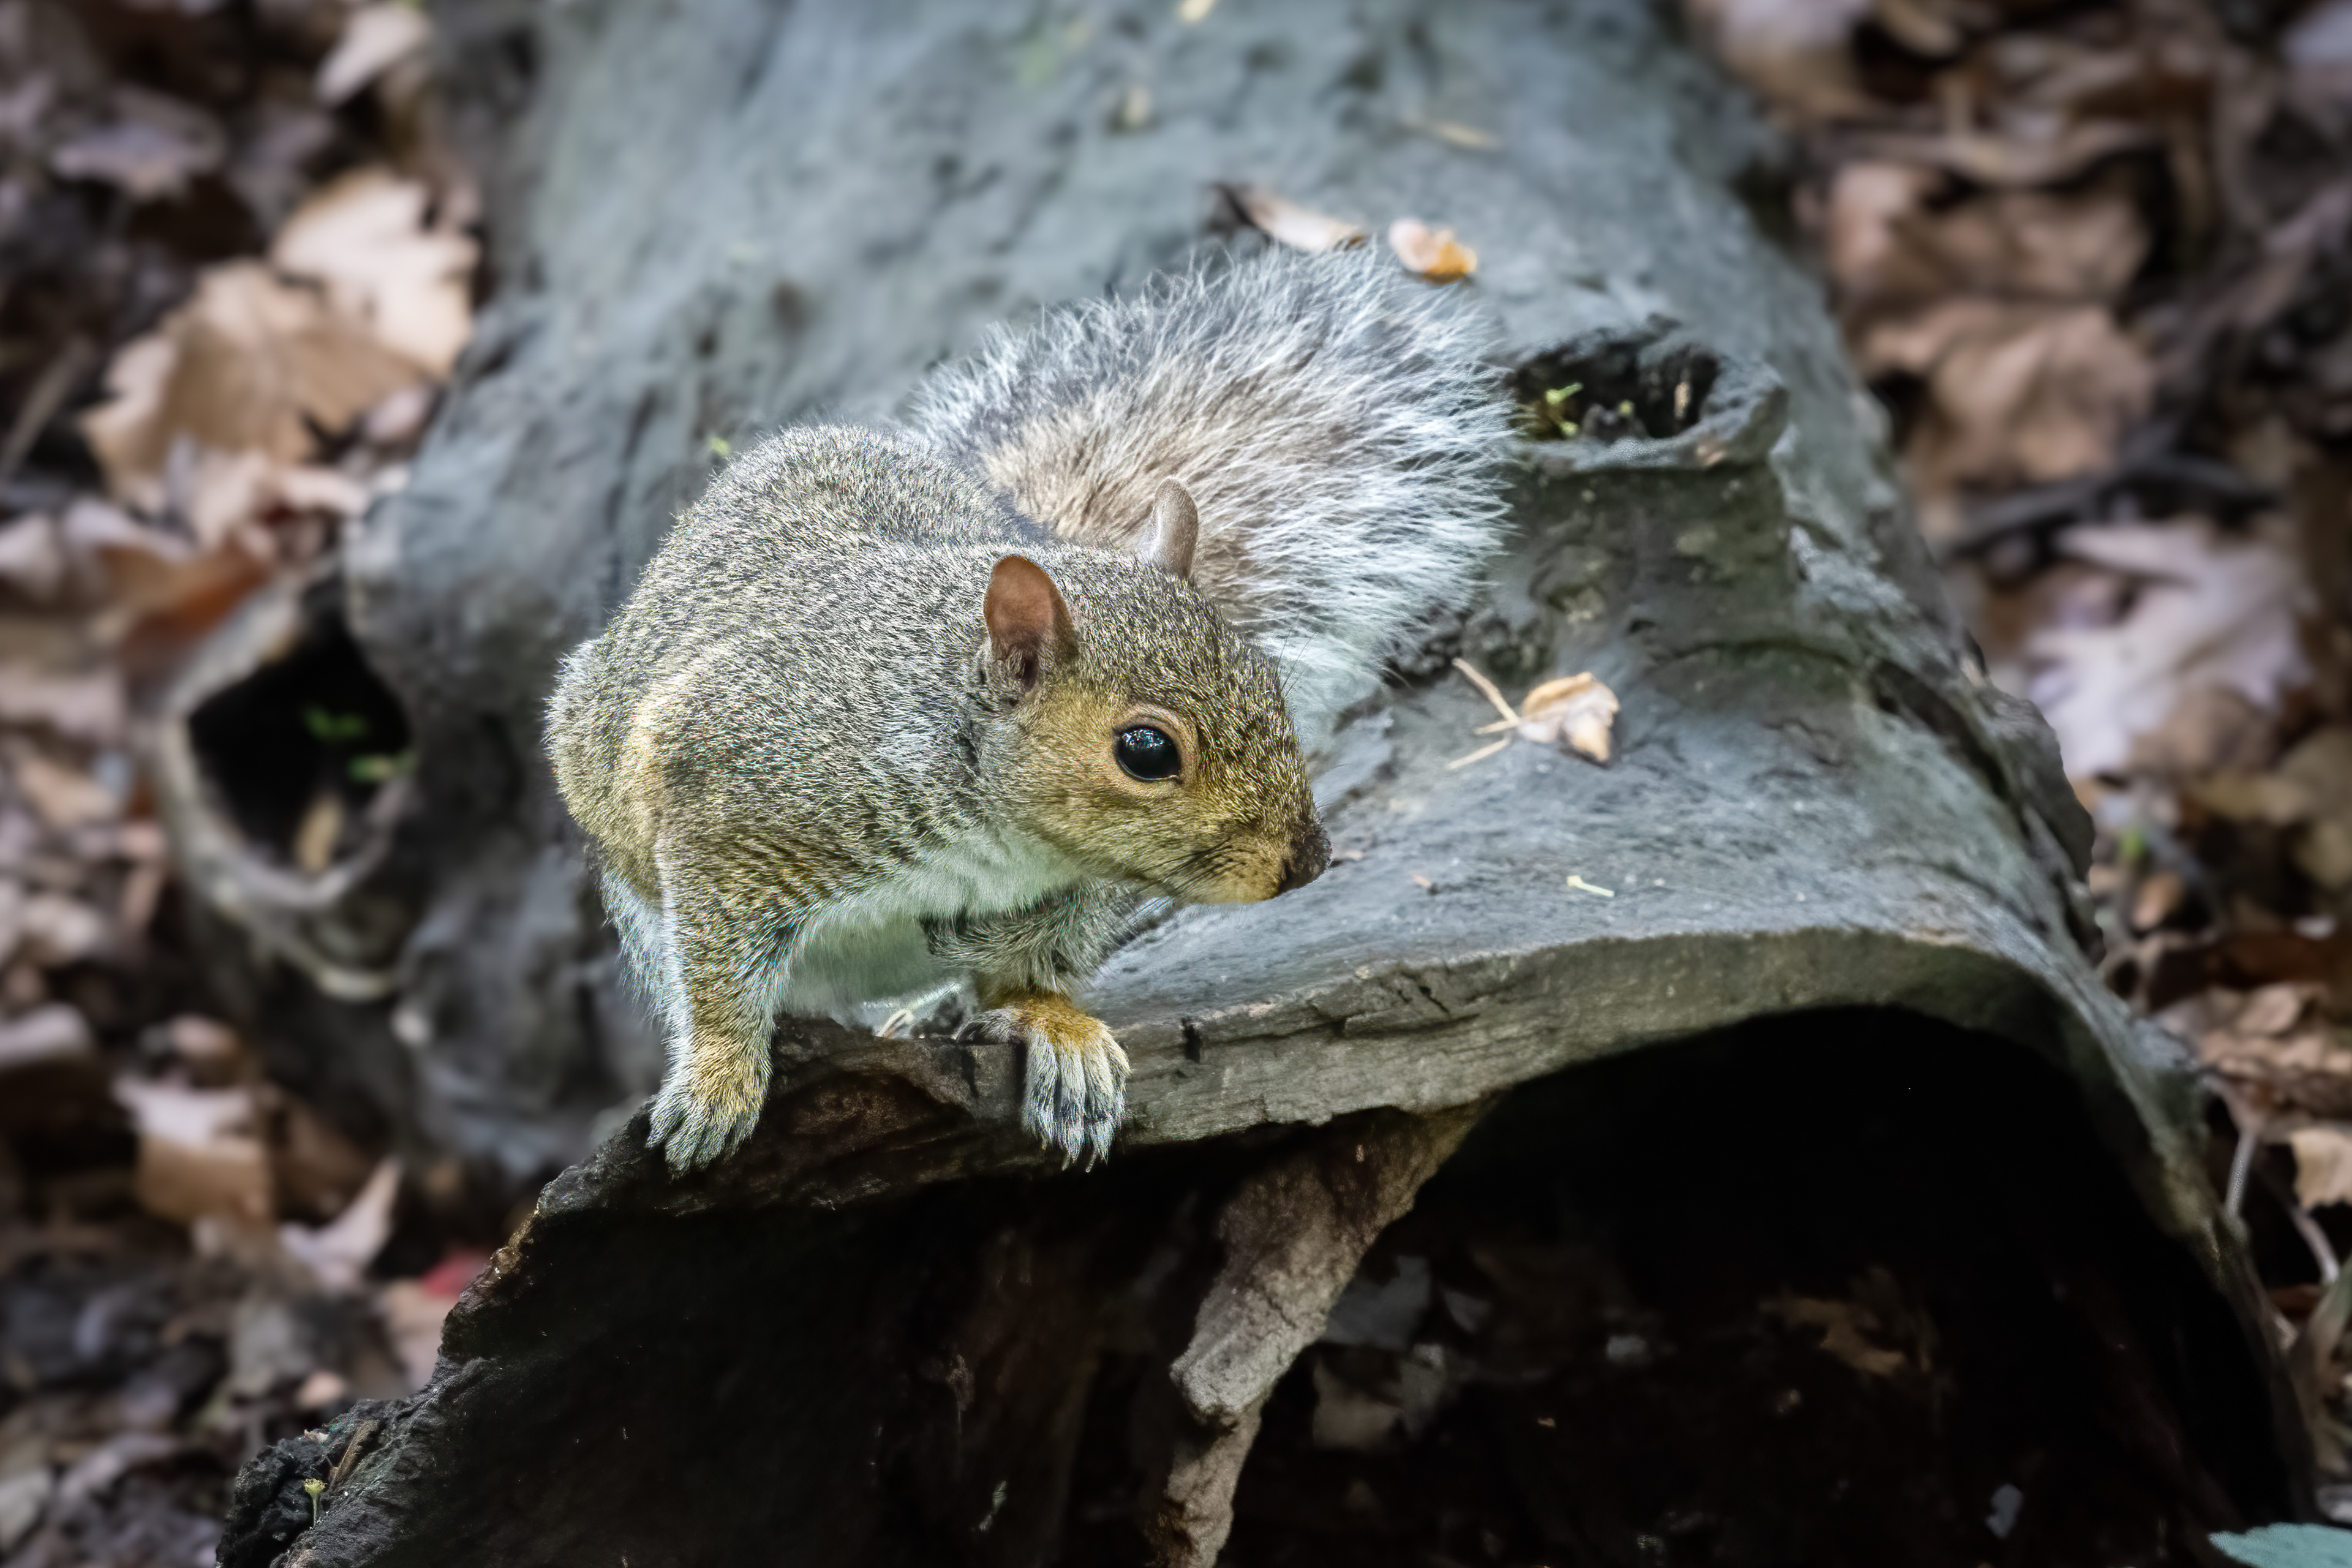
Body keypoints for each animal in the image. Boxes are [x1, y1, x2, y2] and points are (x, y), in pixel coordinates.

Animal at [546, 245, 1512, 1172]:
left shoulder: (1074, 896)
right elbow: (717, 970)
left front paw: (1044, 1010)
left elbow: (1024, 964)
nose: (1308, 860)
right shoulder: (727, 801)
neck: (996, 832)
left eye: (1270, 681)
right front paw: (717, 1078)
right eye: (1147, 751)